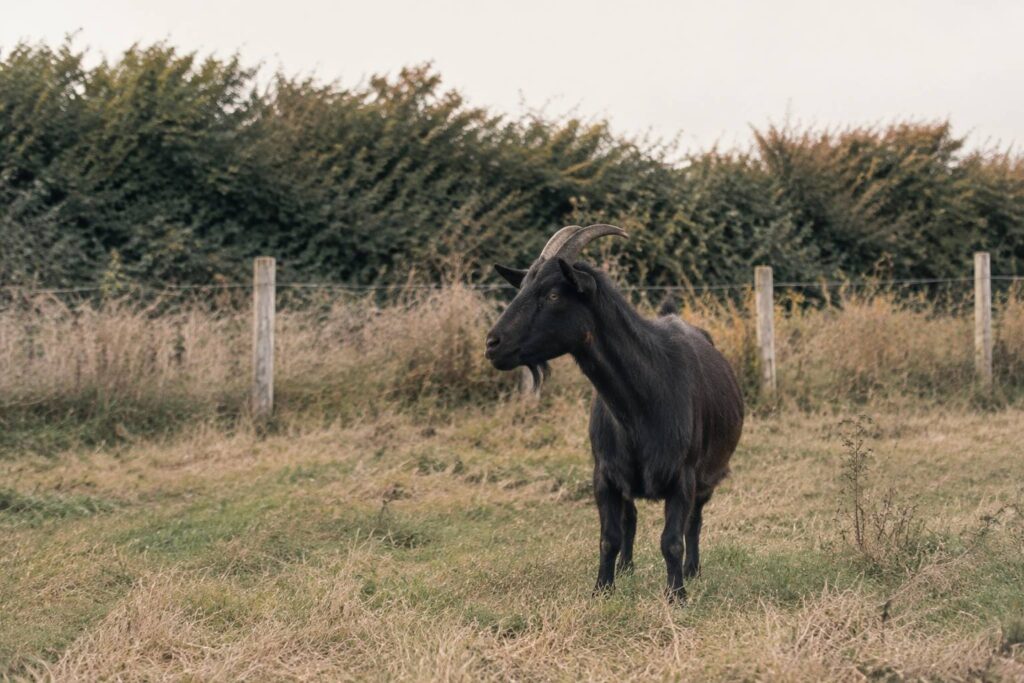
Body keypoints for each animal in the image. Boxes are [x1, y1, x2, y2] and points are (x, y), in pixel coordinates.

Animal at [485, 225, 744, 601]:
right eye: (522, 288)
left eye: (553, 295)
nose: (492, 343)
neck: (643, 401)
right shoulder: (605, 475)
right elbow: (610, 537)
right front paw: (602, 590)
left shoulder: (683, 475)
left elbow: (672, 541)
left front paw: (676, 595)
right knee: (630, 518)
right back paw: (626, 568)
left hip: (709, 474)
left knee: (694, 521)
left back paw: (693, 571)